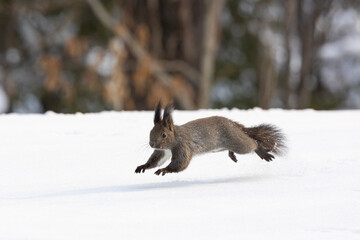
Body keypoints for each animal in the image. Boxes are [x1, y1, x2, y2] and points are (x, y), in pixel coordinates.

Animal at [136, 101, 286, 176]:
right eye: (151, 131)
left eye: (163, 135)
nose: (152, 144)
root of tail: (233, 124)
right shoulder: (162, 152)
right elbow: (155, 161)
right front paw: (143, 166)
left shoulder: (183, 147)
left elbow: (180, 163)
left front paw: (164, 170)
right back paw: (232, 155)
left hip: (237, 141)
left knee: (253, 144)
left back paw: (261, 151)